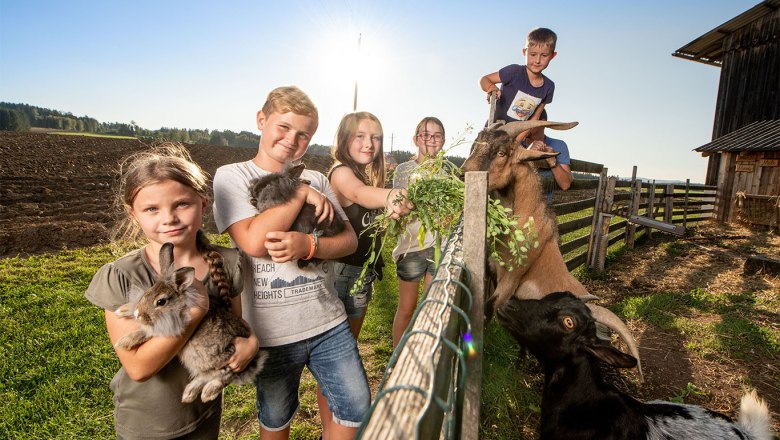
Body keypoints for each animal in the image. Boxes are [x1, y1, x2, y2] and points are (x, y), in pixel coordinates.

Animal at [112, 242, 266, 404]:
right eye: (146, 294)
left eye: (160, 302)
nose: (138, 314)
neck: (181, 304)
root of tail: (253, 362)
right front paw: (122, 310)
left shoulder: (173, 325)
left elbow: (148, 331)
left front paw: (124, 342)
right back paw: (190, 393)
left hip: (222, 358)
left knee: (224, 376)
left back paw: (207, 392)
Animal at [460, 119, 644, 378]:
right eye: (475, 144)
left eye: (501, 153)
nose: (462, 174)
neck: (527, 220)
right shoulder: (493, 270)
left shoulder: (511, 279)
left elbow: (486, 312)